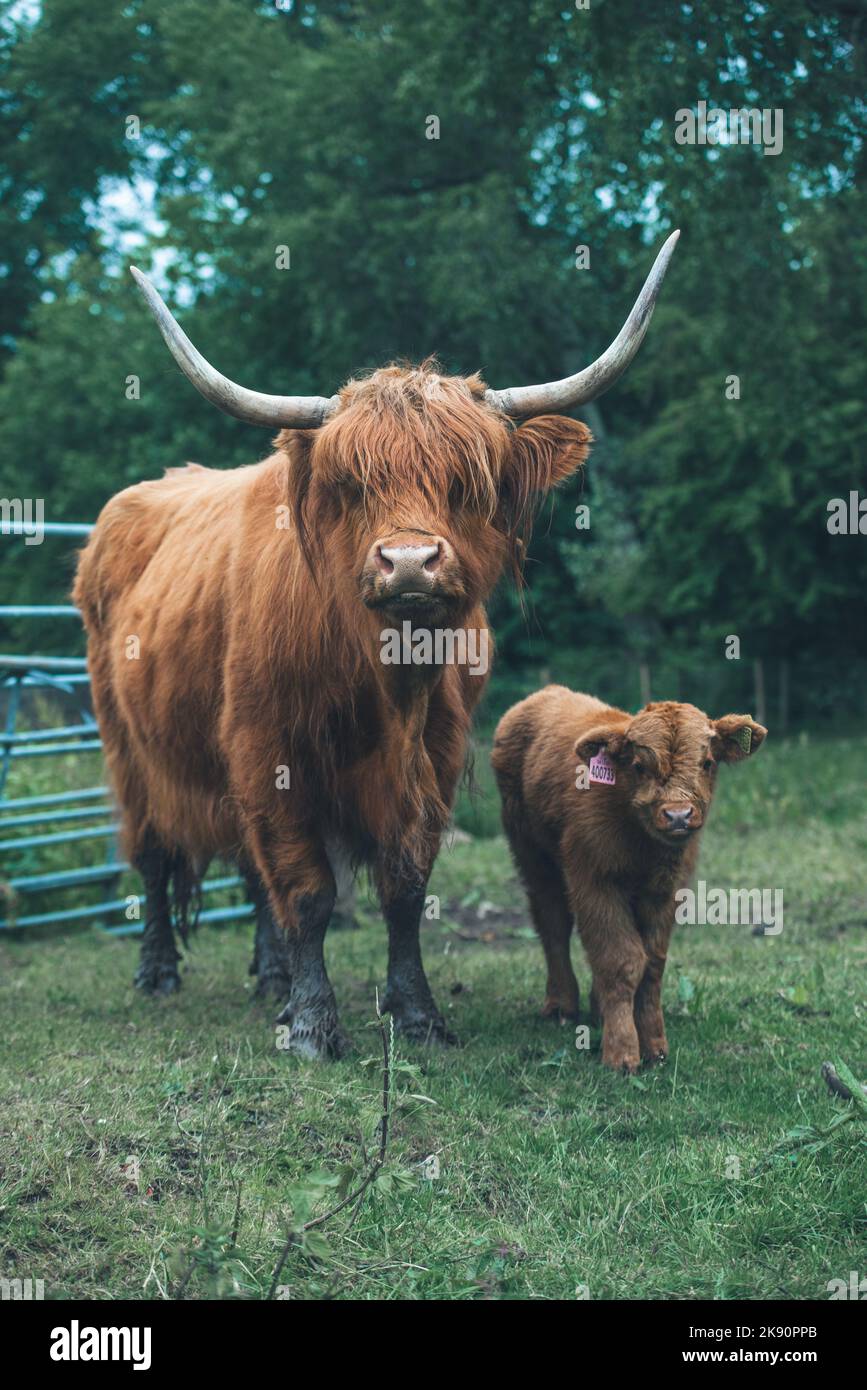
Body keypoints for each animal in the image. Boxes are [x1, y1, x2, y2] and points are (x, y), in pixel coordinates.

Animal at [73, 232, 679, 1059]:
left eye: (465, 481)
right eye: (351, 483)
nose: (410, 563)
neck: (381, 679)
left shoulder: (434, 755)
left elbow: (402, 886)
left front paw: (414, 1013)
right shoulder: (266, 749)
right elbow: (306, 888)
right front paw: (313, 1025)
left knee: (250, 874)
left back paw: (271, 978)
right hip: (129, 747)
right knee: (156, 855)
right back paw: (161, 970)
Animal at [491, 686, 766, 1072]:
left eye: (707, 762)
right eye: (639, 766)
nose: (678, 815)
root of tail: (544, 694)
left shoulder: (665, 891)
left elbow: (650, 964)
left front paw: (654, 1045)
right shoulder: (594, 882)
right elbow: (621, 960)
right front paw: (621, 1053)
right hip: (531, 853)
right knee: (553, 922)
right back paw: (561, 1004)